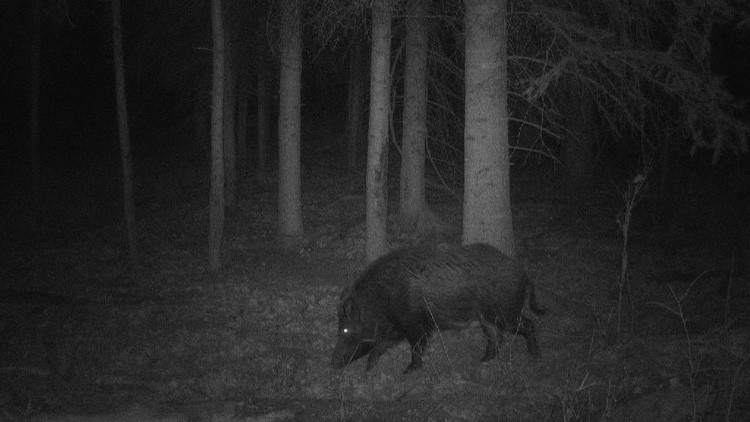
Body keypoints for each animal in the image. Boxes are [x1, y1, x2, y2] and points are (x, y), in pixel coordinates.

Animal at [330, 243, 545, 374]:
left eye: (345, 329)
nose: (332, 364)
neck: (381, 299)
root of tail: (524, 273)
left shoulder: (415, 323)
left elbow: (416, 346)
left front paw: (407, 371)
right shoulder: (398, 327)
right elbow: (381, 344)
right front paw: (369, 369)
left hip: (507, 311)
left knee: (528, 324)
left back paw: (535, 356)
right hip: (486, 317)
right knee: (495, 336)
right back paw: (483, 361)